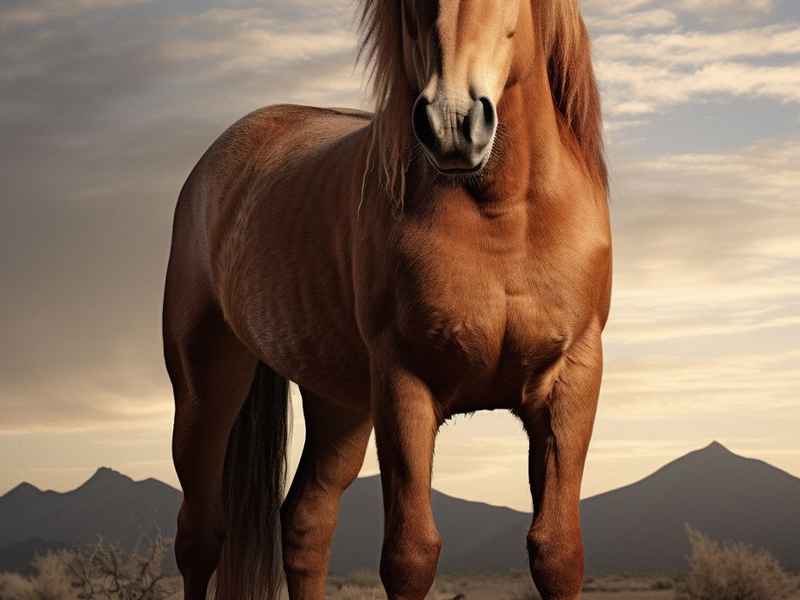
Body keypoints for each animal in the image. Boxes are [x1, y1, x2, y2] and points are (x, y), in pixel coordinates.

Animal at [162, 0, 611, 599]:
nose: (452, 125)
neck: (505, 216)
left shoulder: (572, 381)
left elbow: (558, 553)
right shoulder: (404, 383)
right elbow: (411, 555)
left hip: (340, 404)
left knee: (305, 522)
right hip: (205, 390)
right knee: (200, 537)